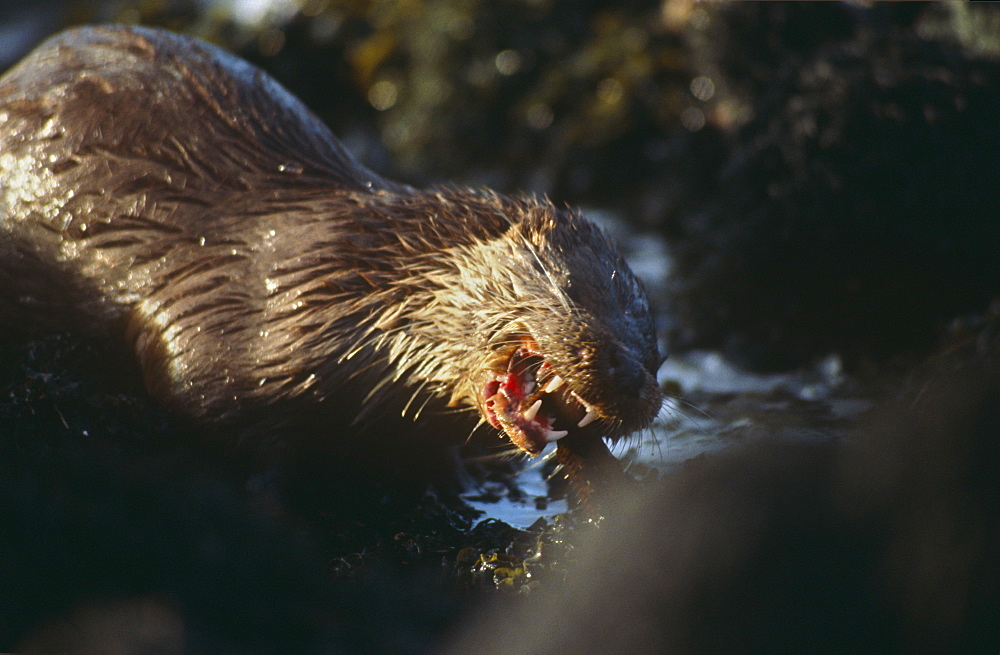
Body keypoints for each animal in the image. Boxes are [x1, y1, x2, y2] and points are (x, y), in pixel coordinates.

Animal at [1, 24, 664, 498]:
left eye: (655, 350)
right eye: (576, 289)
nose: (634, 379)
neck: (346, 289)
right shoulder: (213, 331)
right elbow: (204, 407)